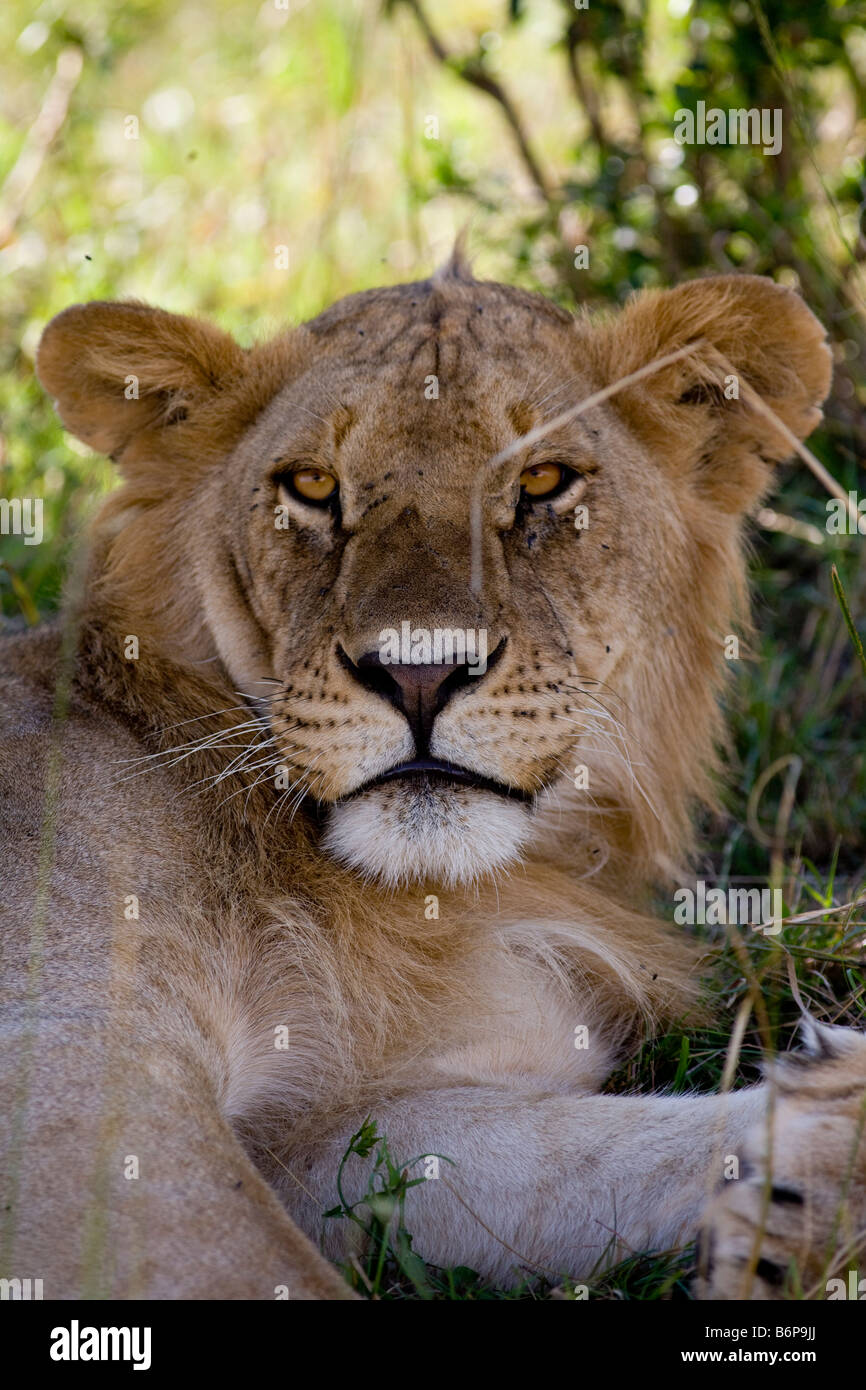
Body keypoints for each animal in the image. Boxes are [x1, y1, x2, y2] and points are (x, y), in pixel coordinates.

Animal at [1, 253, 864, 1301]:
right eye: (310, 485)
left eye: (543, 481)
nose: (419, 673)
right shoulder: (77, 1058)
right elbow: (254, 1265)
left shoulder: (343, 1132)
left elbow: (577, 1157)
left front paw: (814, 1168)